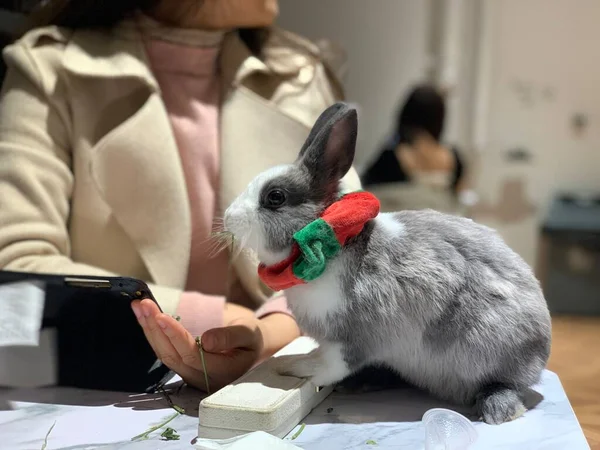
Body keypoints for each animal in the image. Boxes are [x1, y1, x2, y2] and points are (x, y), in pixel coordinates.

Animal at [225, 102, 552, 426]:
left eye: (275, 197)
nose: (228, 218)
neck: (333, 245)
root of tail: (541, 351)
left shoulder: (356, 335)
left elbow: (333, 363)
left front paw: (298, 367)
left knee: (505, 384)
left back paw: (498, 409)